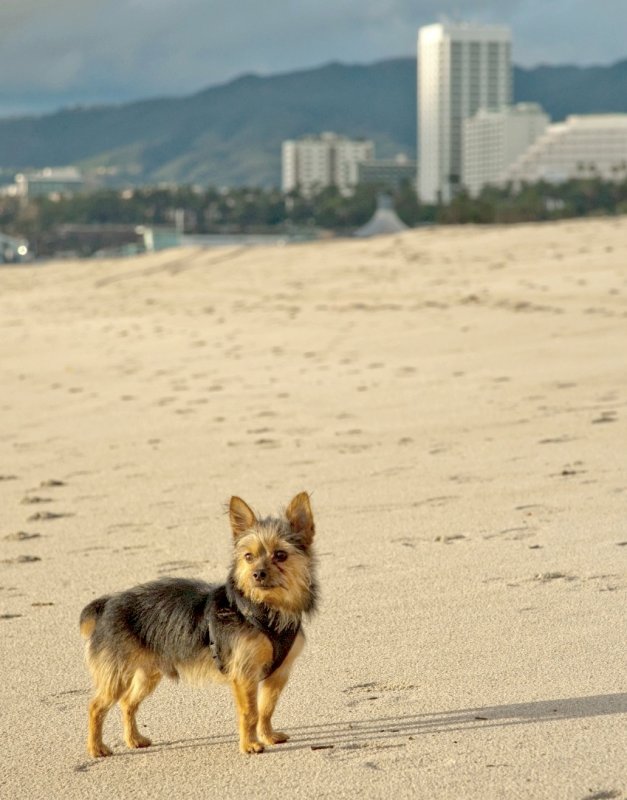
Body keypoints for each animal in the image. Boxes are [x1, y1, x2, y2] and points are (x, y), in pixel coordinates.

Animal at [81, 490, 318, 760]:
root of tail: (108, 603)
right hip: (117, 675)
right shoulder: (244, 675)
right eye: (248, 557)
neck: (265, 609)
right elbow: (250, 712)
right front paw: (250, 745)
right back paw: (96, 748)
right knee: (96, 706)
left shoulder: (278, 674)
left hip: (148, 674)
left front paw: (268, 736)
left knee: (127, 703)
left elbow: (267, 708)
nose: (257, 574)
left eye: (280, 555)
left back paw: (134, 739)